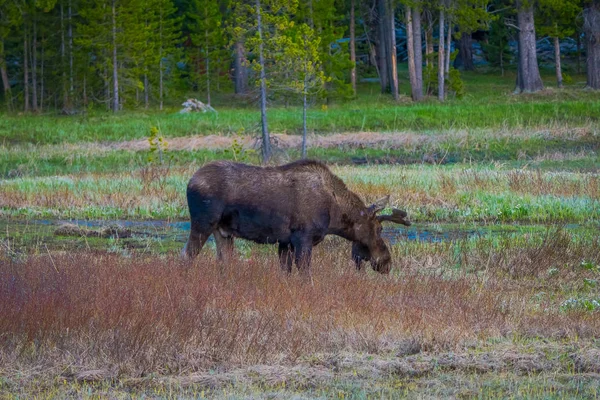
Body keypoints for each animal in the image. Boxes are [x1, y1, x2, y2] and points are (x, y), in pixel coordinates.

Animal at [180, 161, 410, 274]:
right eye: (379, 229)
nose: (386, 262)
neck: (334, 215)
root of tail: (190, 181)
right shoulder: (302, 238)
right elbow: (305, 275)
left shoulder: (285, 242)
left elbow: (286, 273)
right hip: (202, 224)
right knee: (187, 256)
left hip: (223, 232)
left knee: (224, 262)